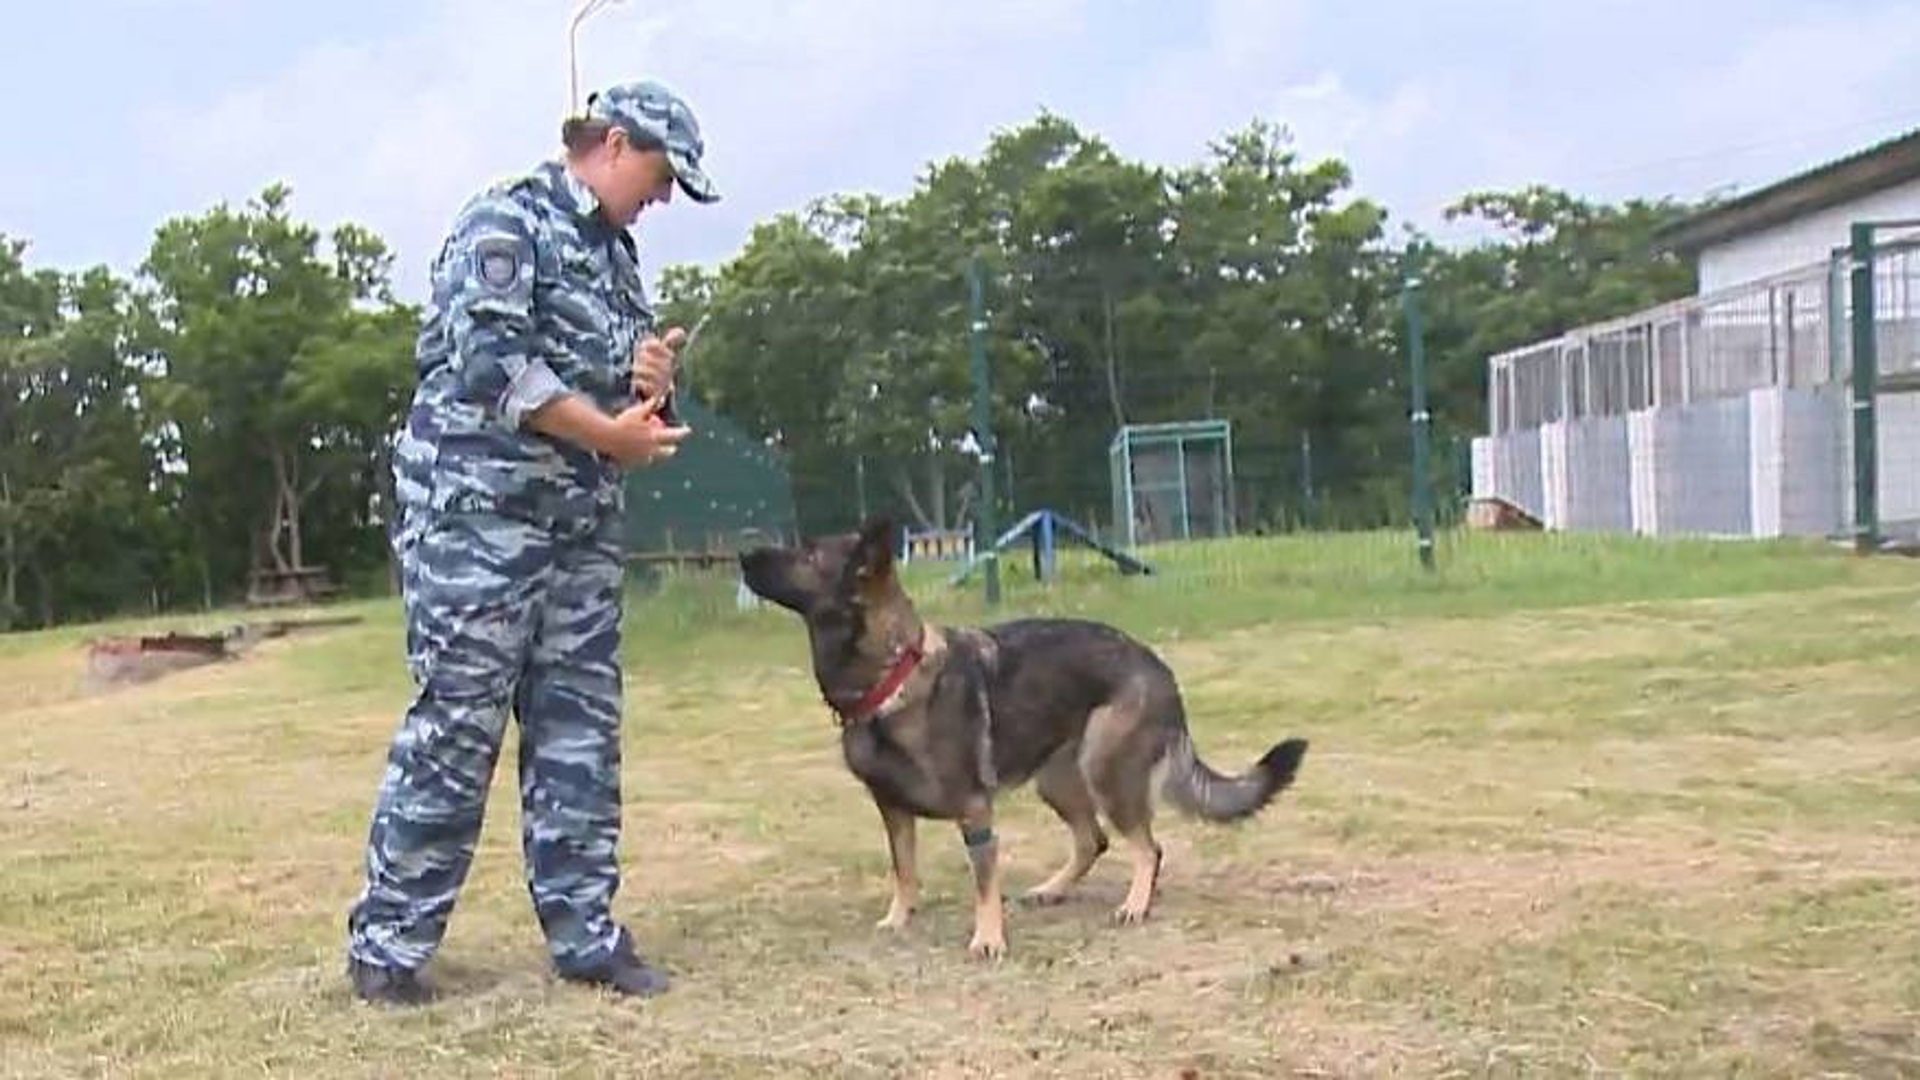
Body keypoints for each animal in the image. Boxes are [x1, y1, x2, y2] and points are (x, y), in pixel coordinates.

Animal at [733, 518, 1305, 953]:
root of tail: (1157, 664)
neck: (890, 676)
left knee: (1147, 847)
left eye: (808, 553)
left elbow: (983, 882)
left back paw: (1134, 904)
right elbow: (904, 870)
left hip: (1106, 773)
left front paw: (988, 938)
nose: (741, 553)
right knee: (1093, 840)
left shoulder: (974, 813)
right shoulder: (892, 810)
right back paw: (1052, 889)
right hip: (1056, 782)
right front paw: (899, 917)